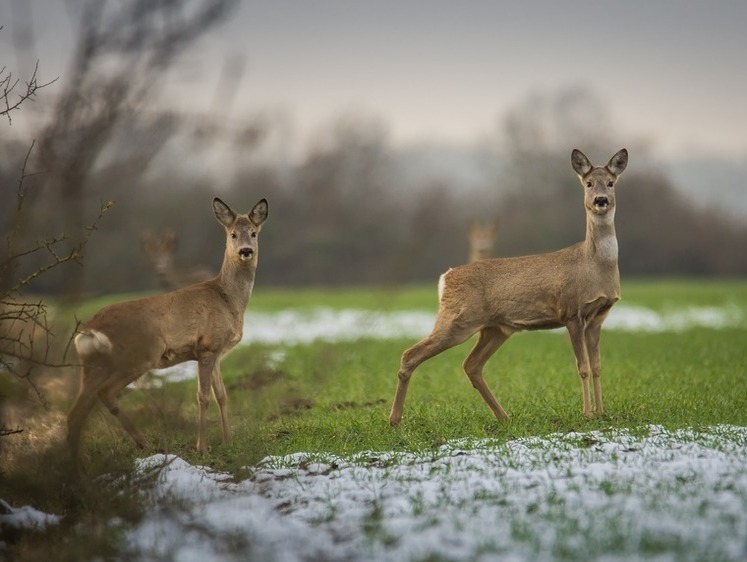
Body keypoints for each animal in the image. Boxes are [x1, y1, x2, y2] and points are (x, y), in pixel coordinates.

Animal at [68, 195, 270, 462]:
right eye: (233, 234)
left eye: (254, 233)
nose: (246, 251)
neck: (228, 300)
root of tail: (89, 330)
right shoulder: (207, 347)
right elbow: (203, 396)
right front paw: (202, 448)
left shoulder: (216, 353)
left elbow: (222, 395)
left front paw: (228, 441)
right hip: (137, 355)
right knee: (105, 394)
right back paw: (141, 444)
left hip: (93, 365)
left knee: (76, 412)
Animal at [392, 148, 632, 424]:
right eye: (589, 183)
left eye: (611, 183)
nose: (600, 200)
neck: (593, 266)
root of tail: (446, 277)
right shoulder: (572, 312)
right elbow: (582, 367)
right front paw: (586, 414)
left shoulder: (599, 316)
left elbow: (597, 366)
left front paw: (601, 413)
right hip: (457, 319)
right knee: (410, 355)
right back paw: (395, 421)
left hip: (495, 328)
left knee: (471, 365)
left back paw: (503, 416)